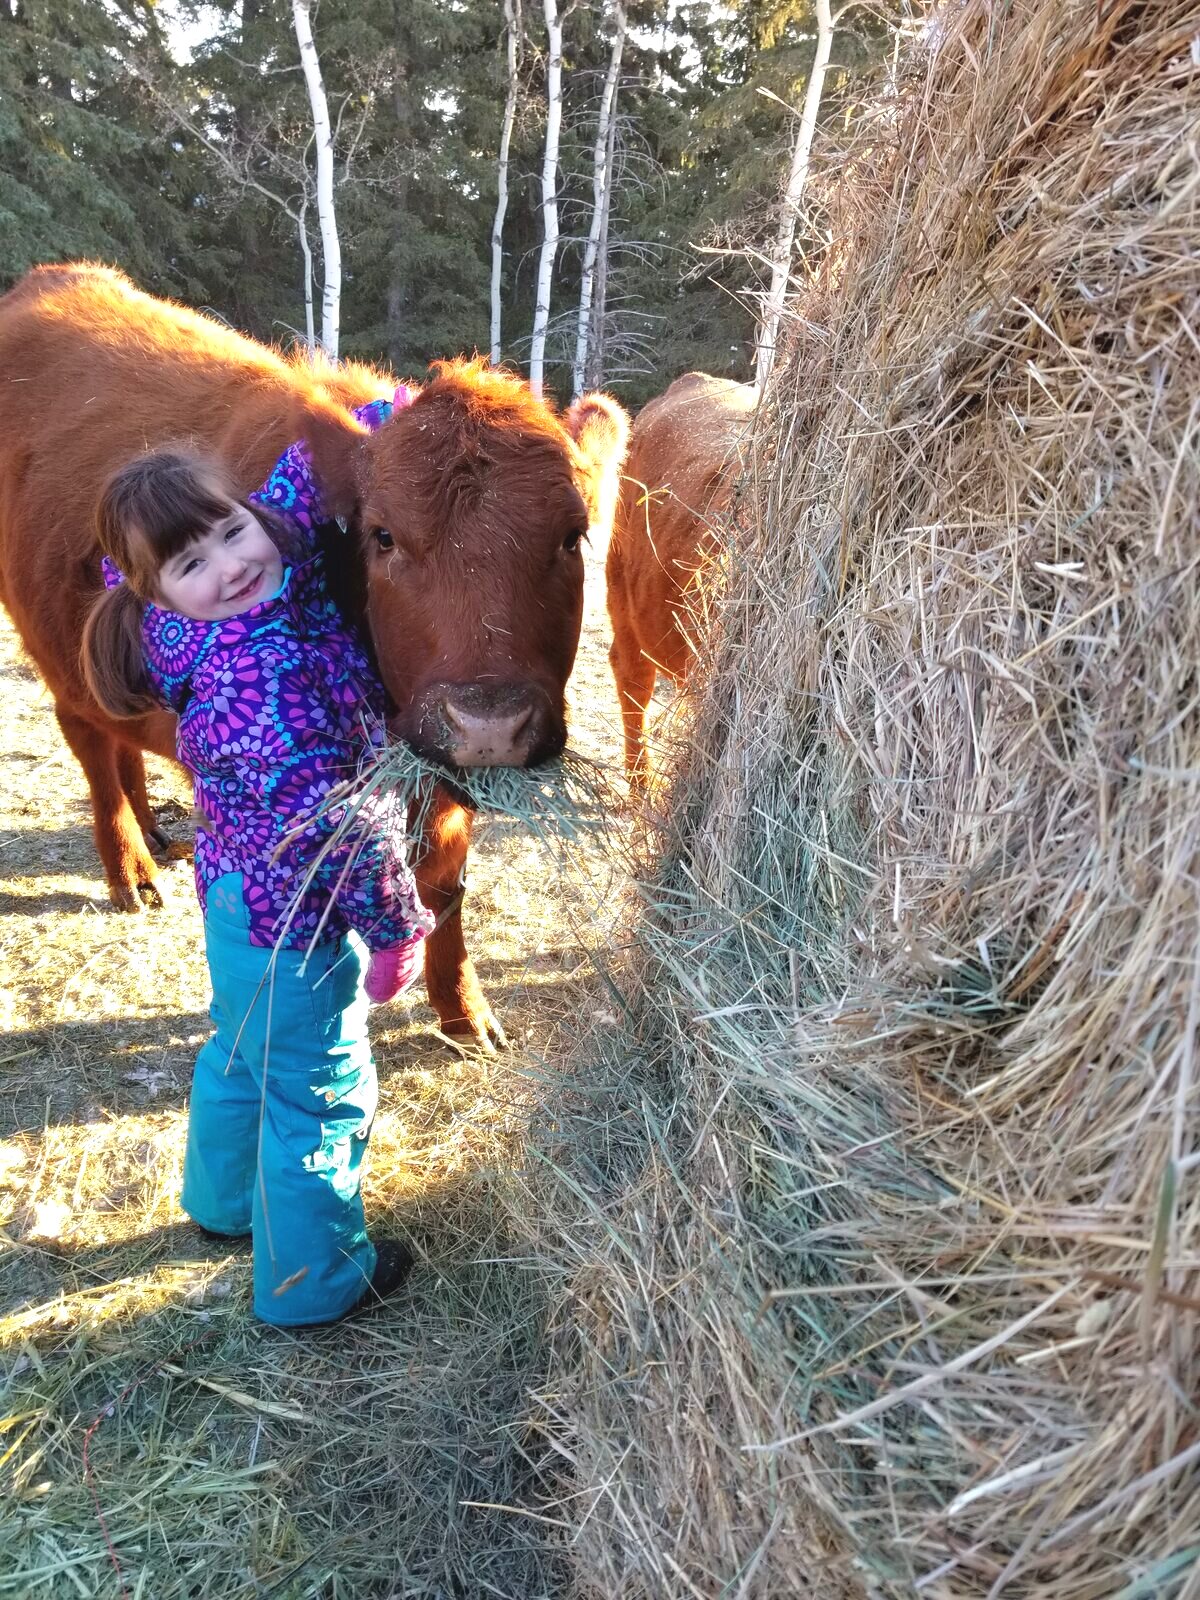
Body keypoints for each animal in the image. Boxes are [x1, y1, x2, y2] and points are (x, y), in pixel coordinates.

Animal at [0, 263, 629, 1047]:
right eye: (384, 536)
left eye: (573, 537)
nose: (487, 723)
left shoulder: (437, 776)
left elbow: (445, 889)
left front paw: (465, 1012)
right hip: (55, 653)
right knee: (90, 746)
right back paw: (132, 870)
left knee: (119, 745)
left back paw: (154, 834)